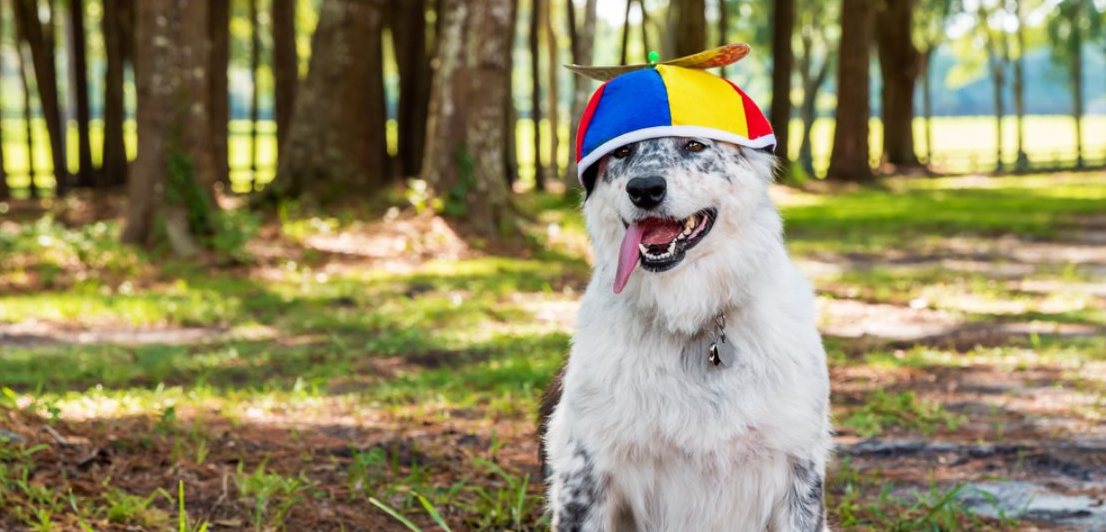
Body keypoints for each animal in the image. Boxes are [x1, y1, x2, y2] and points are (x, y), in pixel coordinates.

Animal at [539, 133, 831, 530]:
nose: (644, 189)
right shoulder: (584, 472)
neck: (692, 314)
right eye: (622, 151)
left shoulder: (797, 470)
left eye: (694, 145)